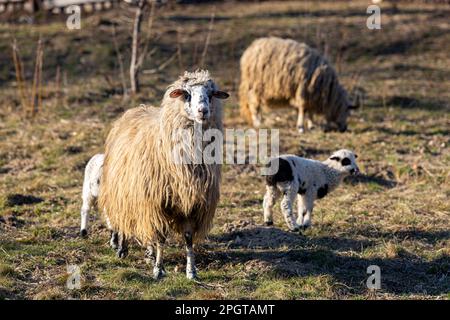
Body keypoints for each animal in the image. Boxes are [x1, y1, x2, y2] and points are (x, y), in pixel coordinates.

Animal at [100, 69, 230, 278]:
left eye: (211, 94)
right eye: (187, 94)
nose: (203, 111)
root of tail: (137, 108)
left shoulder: (191, 204)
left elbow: (188, 238)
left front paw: (191, 271)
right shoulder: (156, 203)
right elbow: (161, 238)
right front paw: (159, 269)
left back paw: (149, 253)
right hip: (124, 193)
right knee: (125, 220)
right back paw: (123, 248)